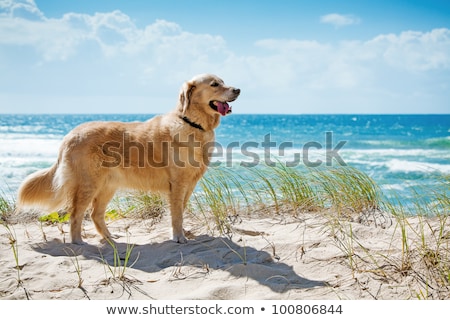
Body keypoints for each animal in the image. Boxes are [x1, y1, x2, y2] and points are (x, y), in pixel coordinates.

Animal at [17, 74, 241, 245]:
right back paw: (78, 242)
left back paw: (110, 238)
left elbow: (181, 211)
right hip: (89, 184)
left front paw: (182, 233)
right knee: (75, 214)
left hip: (108, 186)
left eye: (223, 81)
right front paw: (178, 237)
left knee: (95, 214)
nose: (238, 89)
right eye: (214, 84)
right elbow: (177, 214)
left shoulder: (189, 184)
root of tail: (70, 134)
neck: (193, 124)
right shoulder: (177, 184)